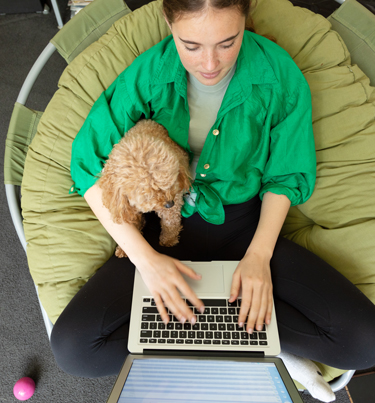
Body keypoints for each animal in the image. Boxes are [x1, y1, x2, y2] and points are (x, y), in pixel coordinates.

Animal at [97, 120, 191, 258]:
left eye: (169, 183)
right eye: (148, 196)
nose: (170, 204)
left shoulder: (175, 199)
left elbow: (170, 222)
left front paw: (169, 239)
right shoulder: (129, 208)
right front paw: (124, 249)